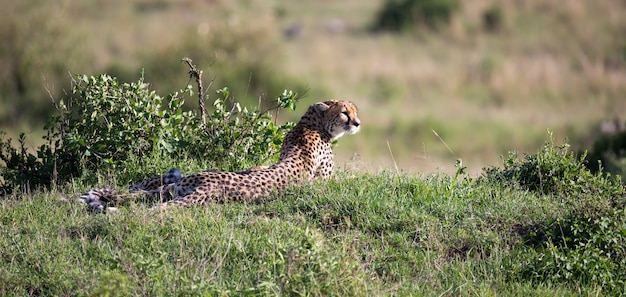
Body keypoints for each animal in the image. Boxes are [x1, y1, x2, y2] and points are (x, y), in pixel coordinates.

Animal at [78, 100, 360, 210]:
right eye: (345, 113)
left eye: (354, 112)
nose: (357, 123)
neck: (311, 124)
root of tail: (211, 184)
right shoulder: (324, 181)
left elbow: (257, 166)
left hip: (173, 189)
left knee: (138, 193)